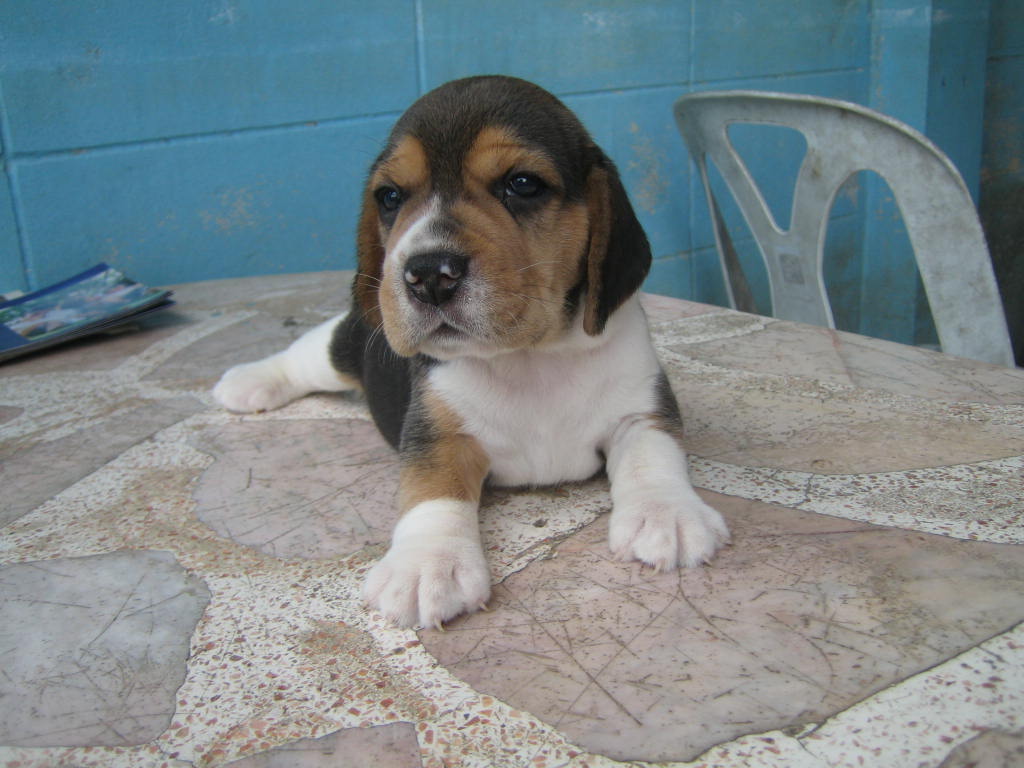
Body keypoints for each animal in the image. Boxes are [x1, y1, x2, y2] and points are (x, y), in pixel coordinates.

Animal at [213, 75, 729, 629]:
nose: (426, 274)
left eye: (522, 184)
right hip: (344, 344)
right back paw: (249, 382)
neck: (527, 356)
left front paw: (667, 513)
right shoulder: (436, 434)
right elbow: (433, 491)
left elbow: (654, 456)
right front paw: (427, 563)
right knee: (305, 354)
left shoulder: (641, 408)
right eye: (390, 196)